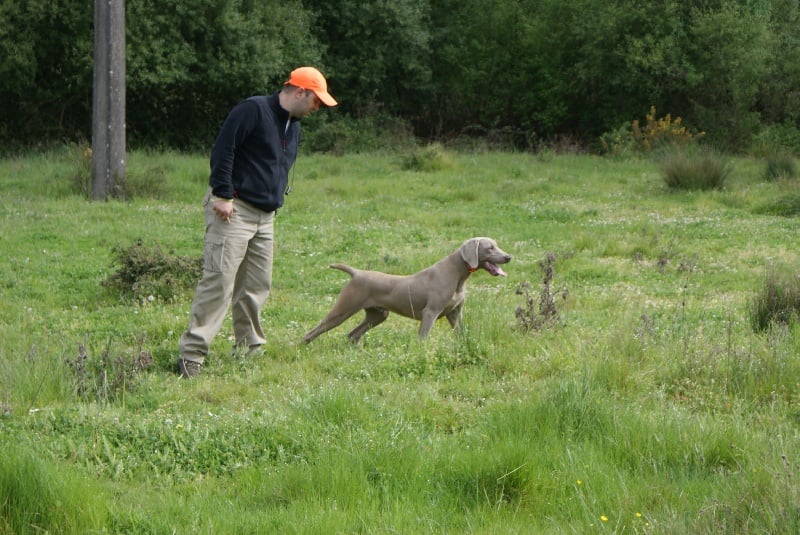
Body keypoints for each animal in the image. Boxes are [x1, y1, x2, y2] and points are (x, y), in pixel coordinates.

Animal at [300, 238, 512, 346]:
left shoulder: (454, 313)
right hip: (343, 309)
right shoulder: (430, 313)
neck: (457, 274)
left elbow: (461, 334)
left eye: (497, 245)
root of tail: (356, 273)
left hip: (377, 315)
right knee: (312, 332)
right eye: (490, 248)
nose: (508, 257)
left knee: (352, 334)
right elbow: (422, 339)